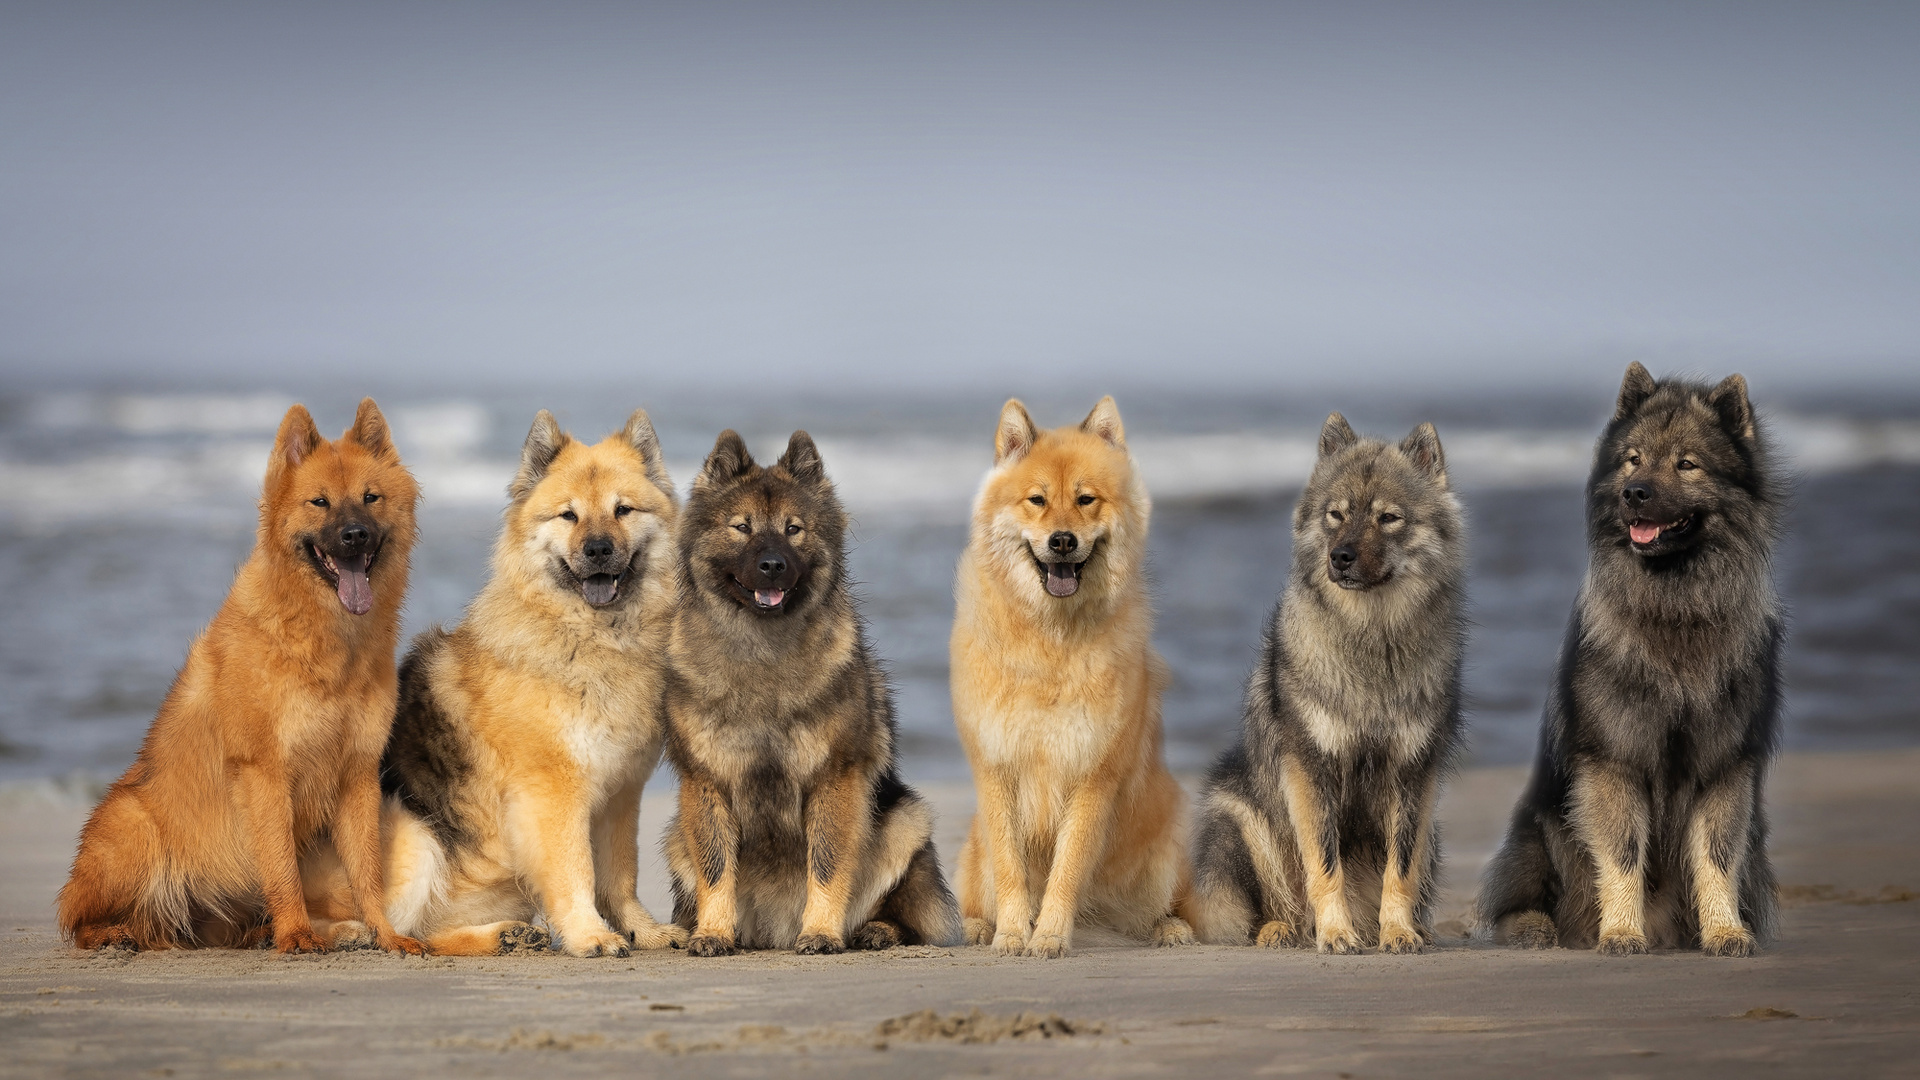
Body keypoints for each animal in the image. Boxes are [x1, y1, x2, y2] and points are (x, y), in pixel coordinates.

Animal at [1182, 411, 1466, 949]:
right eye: (1336, 514)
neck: (1372, 639)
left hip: (1436, 832)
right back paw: (1282, 930)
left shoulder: (1412, 775)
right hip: (1238, 818)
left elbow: (1400, 868)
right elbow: (1324, 862)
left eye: (1387, 518)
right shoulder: (1312, 768)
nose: (1341, 556)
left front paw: (1397, 932)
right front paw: (1336, 934)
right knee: (1267, 906)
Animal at [1474, 361, 1789, 949]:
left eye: (1686, 464)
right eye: (1633, 459)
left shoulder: (1724, 768)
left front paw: (1724, 931)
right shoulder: (1614, 763)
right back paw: (1536, 928)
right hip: (1537, 831)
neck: (1675, 611)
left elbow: (1716, 856)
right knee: (1520, 899)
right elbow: (1622, 853)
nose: (1634, 493)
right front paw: (1621, 931)